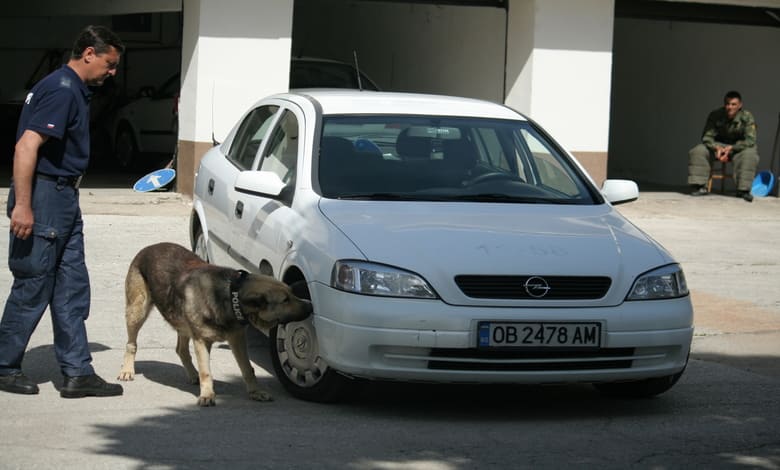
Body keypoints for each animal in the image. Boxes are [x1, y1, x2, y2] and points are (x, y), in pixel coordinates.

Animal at [116, 241, 310, 406]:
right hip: (137, 312)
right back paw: (127, 370)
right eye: (285, 300)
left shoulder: (237, 339)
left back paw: (192, 374)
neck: (231, 296)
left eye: (292, 293)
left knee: (181, 350)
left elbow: (247, 368)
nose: (311, 305)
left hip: (182, 323)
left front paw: (255, 392)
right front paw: (207, 395)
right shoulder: (202, 341)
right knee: (131, 344)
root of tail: (150, 247)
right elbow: (206, 371)